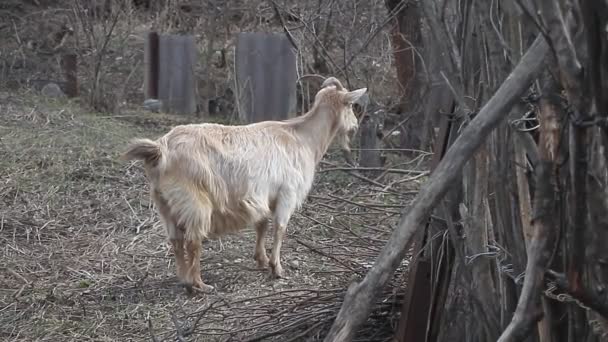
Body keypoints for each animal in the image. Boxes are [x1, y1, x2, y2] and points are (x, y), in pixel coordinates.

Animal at [119, 75, 366, 292]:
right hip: (194, 202)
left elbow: (262, 224)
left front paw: (261, 260)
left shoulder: (264, 196)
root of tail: (161, 149)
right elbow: (280, 228)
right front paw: (277, 268)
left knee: (176, 241)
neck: (301, 137)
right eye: (351, 105)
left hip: (164, 204)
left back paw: (184, 279)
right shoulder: (287, 193)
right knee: (192, 240)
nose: (355, 126)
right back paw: (199, 284)